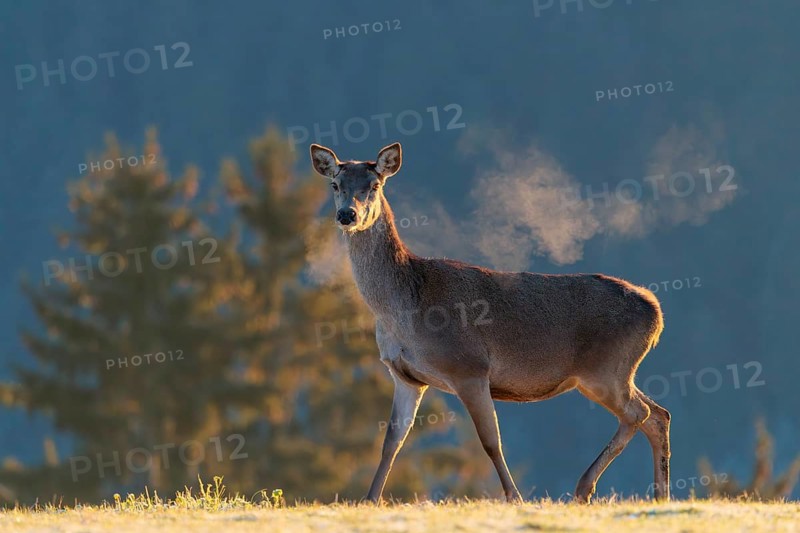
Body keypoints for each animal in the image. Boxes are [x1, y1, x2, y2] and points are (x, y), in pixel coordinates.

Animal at [309, 141, 671, 504]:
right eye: (335, 185)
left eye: (374, 185)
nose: (347, 215)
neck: (402, 313)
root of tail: (656, 313)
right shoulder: (406, 377)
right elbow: (391, 442)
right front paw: (369, 499)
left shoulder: (469, 367)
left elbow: (490, 441)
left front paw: (515, 497)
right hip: (615, 372)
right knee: (658, 414)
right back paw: (658, 495)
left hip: (605, 370)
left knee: (639, 413)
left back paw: (584, 488)